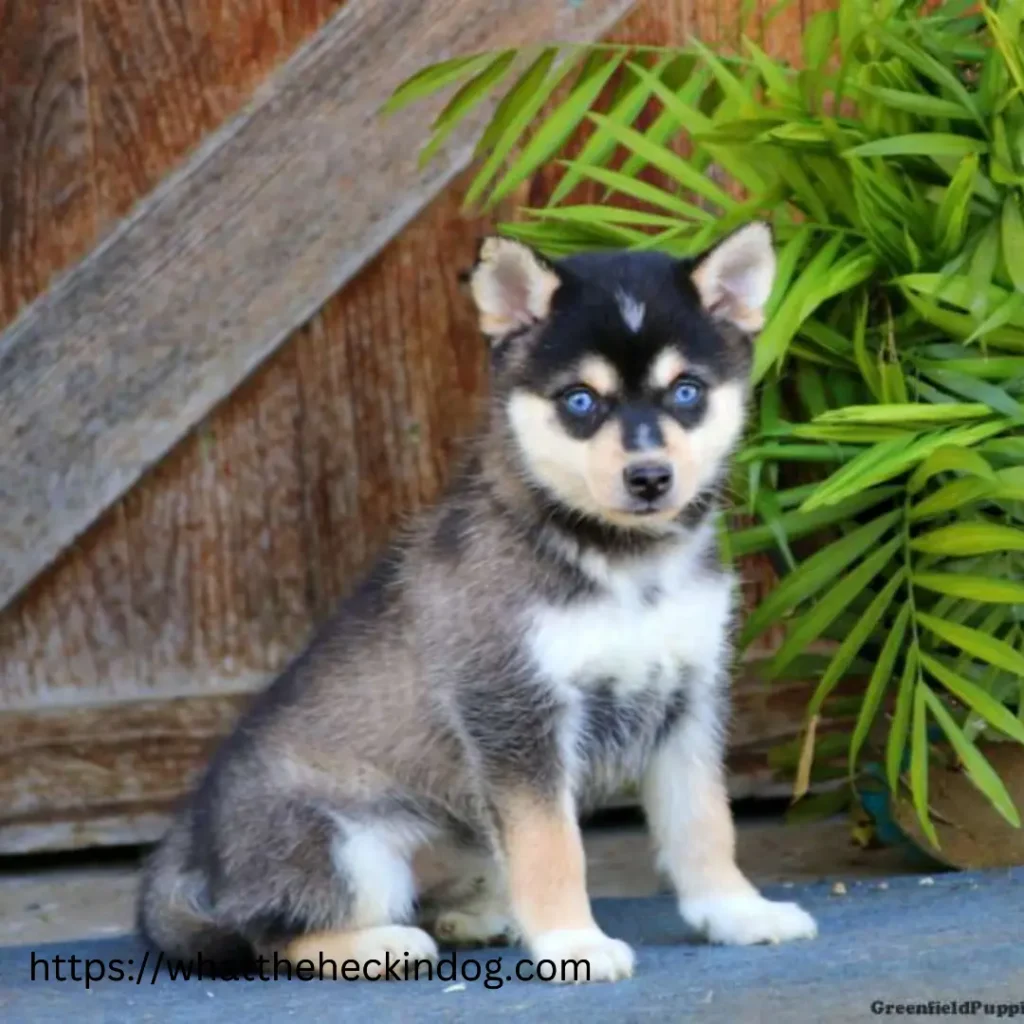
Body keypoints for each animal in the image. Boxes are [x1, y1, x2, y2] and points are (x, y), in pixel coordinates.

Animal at [142, 226, 815, 983]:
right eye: (580, 401)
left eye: (687, 391)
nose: (650, 477)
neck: (623, 564)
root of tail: (194, 850)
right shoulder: (514, 710)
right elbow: (553, 848)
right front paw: (573, 944)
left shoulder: (689, 700)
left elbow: (705, 826)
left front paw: (739, 914)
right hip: (346, 846)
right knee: (270, 937)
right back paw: (383, 944)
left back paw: (476, 918)